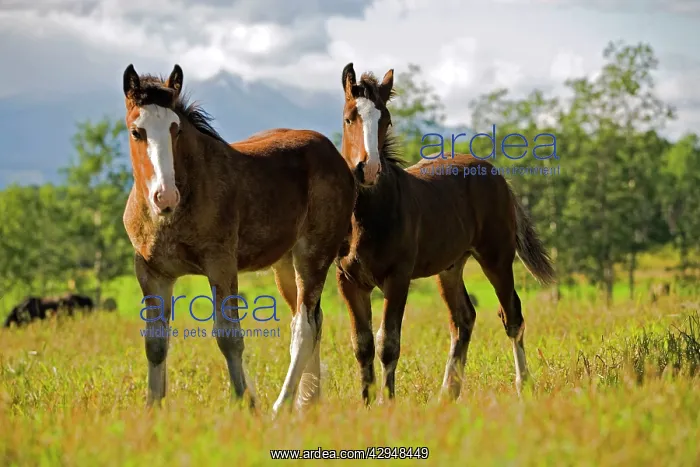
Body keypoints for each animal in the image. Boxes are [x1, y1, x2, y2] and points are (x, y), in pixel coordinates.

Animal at [121, 64, 356, 414]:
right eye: (138, 132)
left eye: (176, 130)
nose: (165, 196)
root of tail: (336, 157)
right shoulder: (152, 273)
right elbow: (155, 342)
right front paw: (153, 408)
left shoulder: (220, 264)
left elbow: (228, 337)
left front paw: (246, 404)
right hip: (285, 265)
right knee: (313, 319)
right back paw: (308, 403)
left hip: (312, 256)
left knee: (304, 327)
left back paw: (281, 406)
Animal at [334, 63, 556, 405]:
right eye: (349, 118)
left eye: (386, 120)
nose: (367, 169)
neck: (368, 217)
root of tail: (497, 175)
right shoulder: (347, 280)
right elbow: (362, 344)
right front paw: (367, 403)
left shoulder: (398, 278)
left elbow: (388, 342)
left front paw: (388, 402)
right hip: (450, 267)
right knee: (463, 319)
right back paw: (448, 393)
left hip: (496, 258)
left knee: (512, 316)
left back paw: (523, 385)